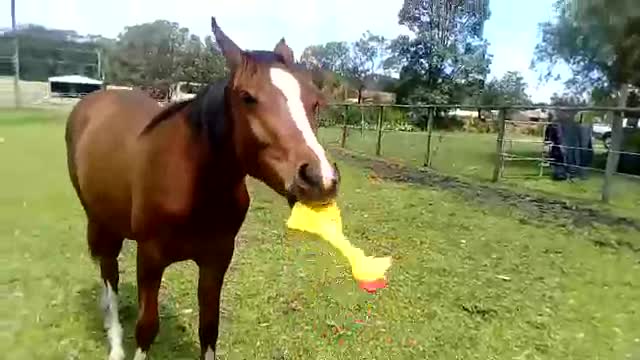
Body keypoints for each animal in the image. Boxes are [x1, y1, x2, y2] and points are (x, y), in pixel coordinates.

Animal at [65, 17, 340, 360]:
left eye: (315, 101)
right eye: (247, 96)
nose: (320, 178)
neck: (194, 186)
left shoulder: (217, 260)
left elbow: (209, 328)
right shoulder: (150, 258)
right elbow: (146, 327)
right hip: (101, 223)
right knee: (109, 277)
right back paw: (115, 345)